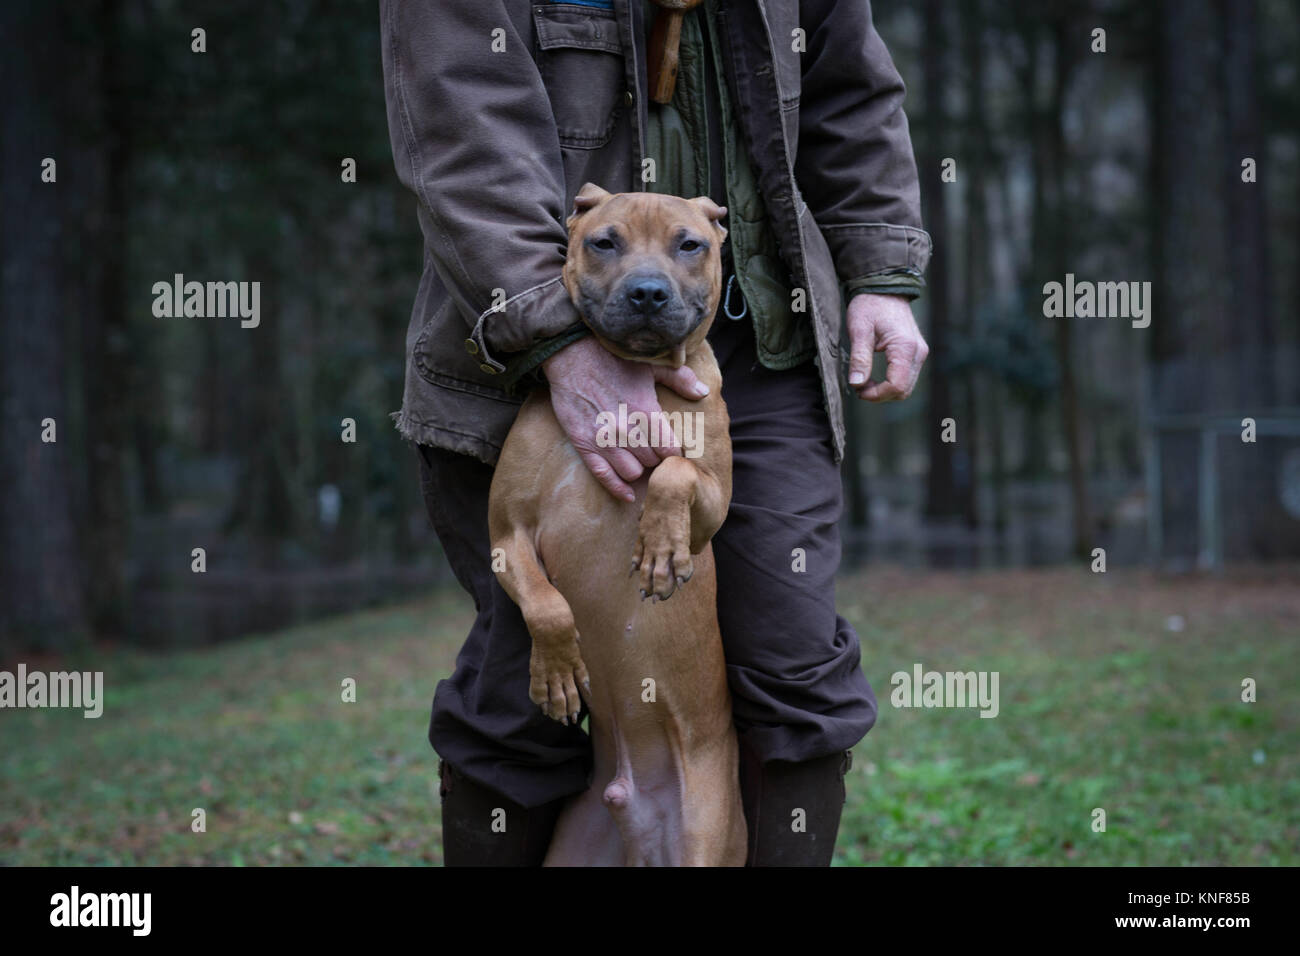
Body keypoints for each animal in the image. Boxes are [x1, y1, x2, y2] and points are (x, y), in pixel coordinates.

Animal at [488, 183, 748, 863]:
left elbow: (672, 473)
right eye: (605, 242)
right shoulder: (506, 535)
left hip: (706, 839)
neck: (639, 375)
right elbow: (547, 606)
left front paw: (659, 551)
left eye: (690, 244)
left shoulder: (712, 505)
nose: (648, 293)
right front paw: (555, 671)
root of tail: (632, 800)